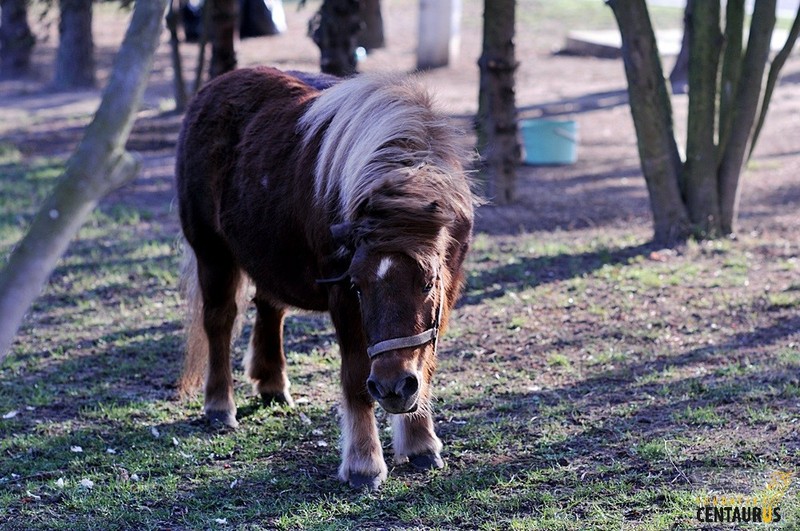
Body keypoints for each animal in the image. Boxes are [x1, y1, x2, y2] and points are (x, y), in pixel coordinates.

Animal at [175, 66, 476, 490]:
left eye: (428, 281)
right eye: (358, 286)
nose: (392, 388)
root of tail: (213, 88)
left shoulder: (449, 290)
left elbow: (425, 363)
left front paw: (420, 443)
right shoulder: (342, 299)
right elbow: (355, 376)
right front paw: (364, 464)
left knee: (269, 307)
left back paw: (272, 383)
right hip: (211, 251)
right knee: (220, 319)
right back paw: (220, 406)